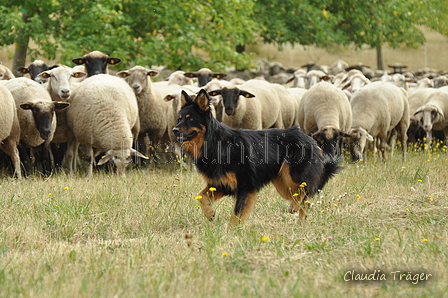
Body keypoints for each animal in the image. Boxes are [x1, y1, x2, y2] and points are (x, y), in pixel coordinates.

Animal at [172, 89, 340, 225]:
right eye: (179, 118)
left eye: (190, 118)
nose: (174, 130)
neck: (216, 142)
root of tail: (309, 138)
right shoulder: (221, 183)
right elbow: (201, 197)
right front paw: (210, 214)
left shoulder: (245, 186)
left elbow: (236, 214)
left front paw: (231, 233)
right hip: (282, 184)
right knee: (303, 200)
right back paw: (300, 223)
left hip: (292, 174)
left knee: (305, 192)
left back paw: (296, 211)